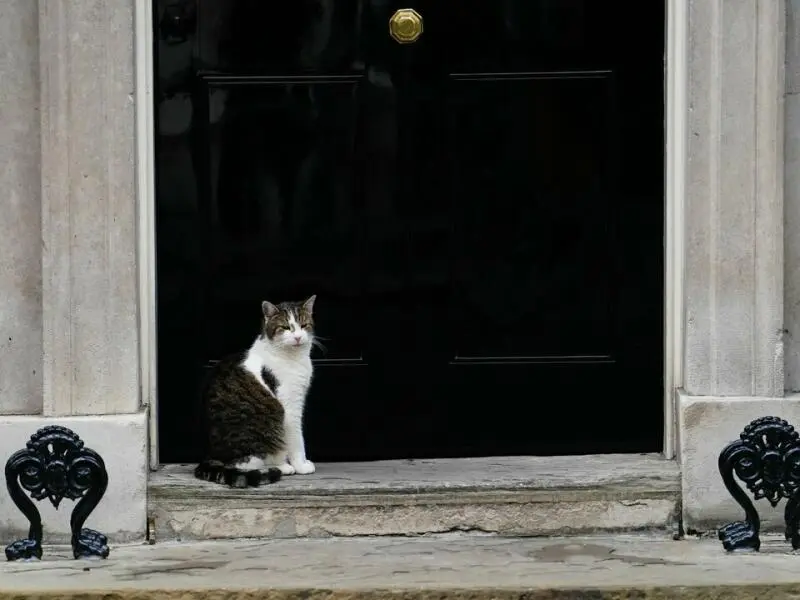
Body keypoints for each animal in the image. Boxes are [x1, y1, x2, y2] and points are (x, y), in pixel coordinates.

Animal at [194, 296, 316, 488]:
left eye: (304, 325)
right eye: (285, 327)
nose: (297, 337)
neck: (293, 358)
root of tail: (211, 456)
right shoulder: (290, 407)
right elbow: (297, 440)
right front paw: (301, 465)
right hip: (266, 423)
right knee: (245, 463)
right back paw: (282, 467)